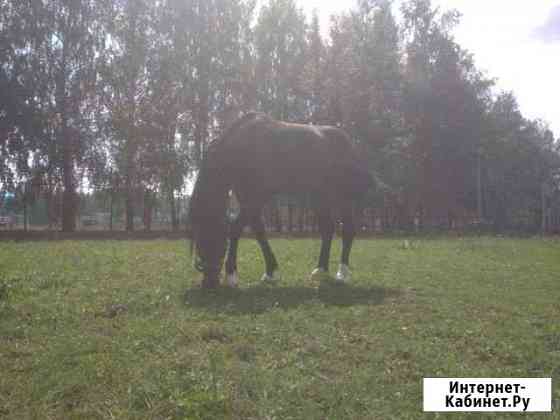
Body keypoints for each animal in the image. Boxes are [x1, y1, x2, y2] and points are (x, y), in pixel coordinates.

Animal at [190, 111, 374, 288]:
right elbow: (259, 231)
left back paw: (342, 274)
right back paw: (320, 271)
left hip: (342, 198)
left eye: (210, 235)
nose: (208, 283)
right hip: (319, 197)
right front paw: (270, 273)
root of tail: (349, 144)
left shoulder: (256, 198)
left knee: (348, 230)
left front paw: (231, 275)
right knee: (328, 229)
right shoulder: (248, 198)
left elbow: (236, 229)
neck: (244, 146)